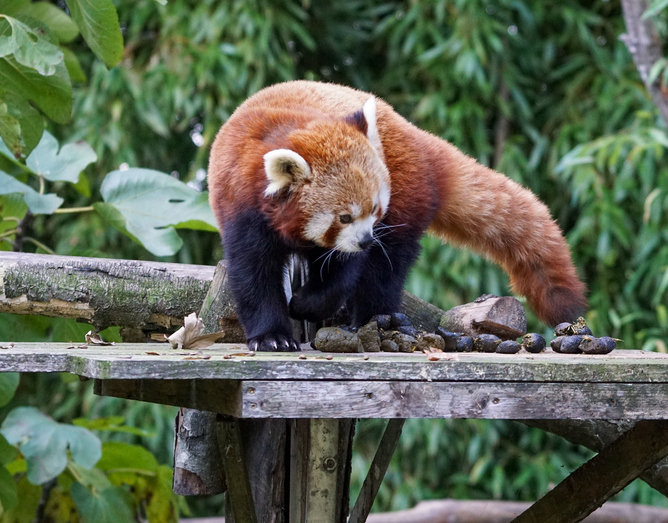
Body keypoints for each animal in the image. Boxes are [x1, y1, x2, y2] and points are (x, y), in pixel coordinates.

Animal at [207, 81, 584, 352]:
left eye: (374, 210)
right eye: (344, 217)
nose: (365, 240)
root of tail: (415, 133)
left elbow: (342, 270)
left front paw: (305, 304)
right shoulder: (241, 208)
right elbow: (254, 274)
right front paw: (272, 336)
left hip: (406, 189)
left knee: (386, 266)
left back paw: (375, 317)